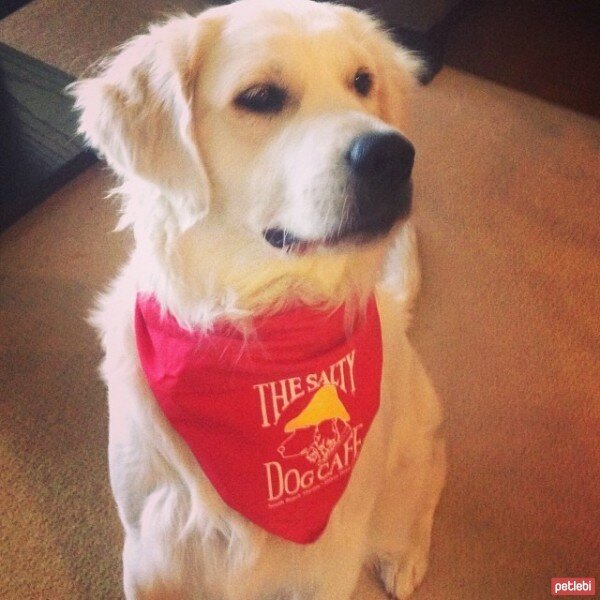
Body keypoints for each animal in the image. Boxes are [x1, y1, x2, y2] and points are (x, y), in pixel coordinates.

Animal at [71, 2, 446, 596]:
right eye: (261, 97)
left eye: (362, 82)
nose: (393, 156)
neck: (258, 323)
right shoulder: (151, 550)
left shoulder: (328, 564)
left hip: (411, 454)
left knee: (427, 484)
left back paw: (405, 554)